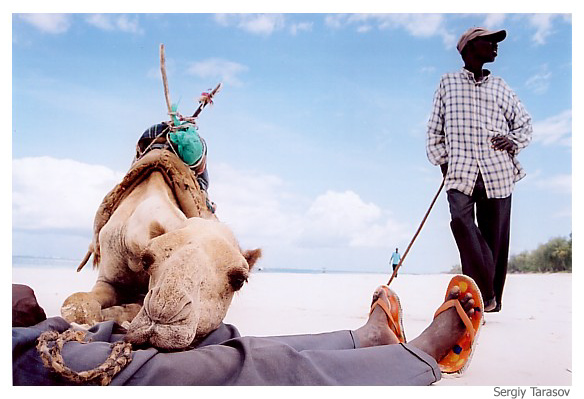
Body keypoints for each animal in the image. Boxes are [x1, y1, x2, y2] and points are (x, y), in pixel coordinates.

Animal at [61, 149, 260, 350]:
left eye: (239, 280)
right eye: (148, 259)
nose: (162, 314)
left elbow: (131, 307)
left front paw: (116, 316)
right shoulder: (108, 279)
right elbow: (77, 303)